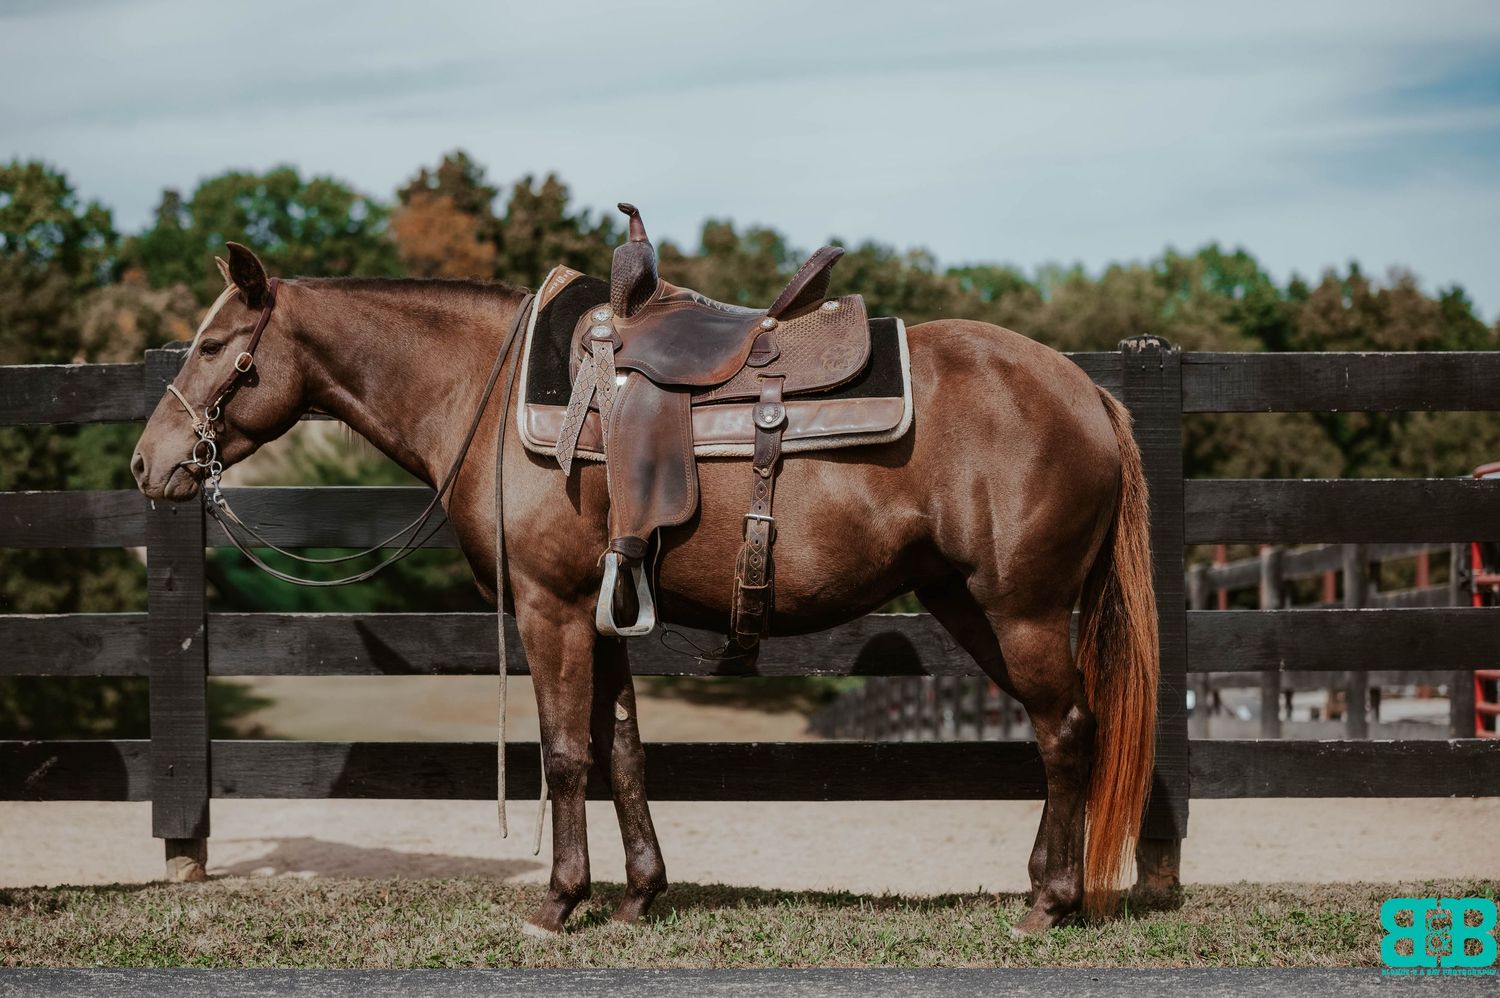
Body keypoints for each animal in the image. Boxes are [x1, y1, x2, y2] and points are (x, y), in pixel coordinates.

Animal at [132, 242, 1158, 936]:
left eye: (215, 344)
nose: (148, 463)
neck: (487, 396)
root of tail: (1088, 393)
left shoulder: (549, 608)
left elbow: (562, 754)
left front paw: (559, 900)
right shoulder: (602, 610)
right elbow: (619, 749)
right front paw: (638, 893)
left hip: (1023, 611)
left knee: (1070, 731)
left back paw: (1052, 902)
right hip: (970, 605)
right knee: (1057, 730)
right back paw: (1044, 888)